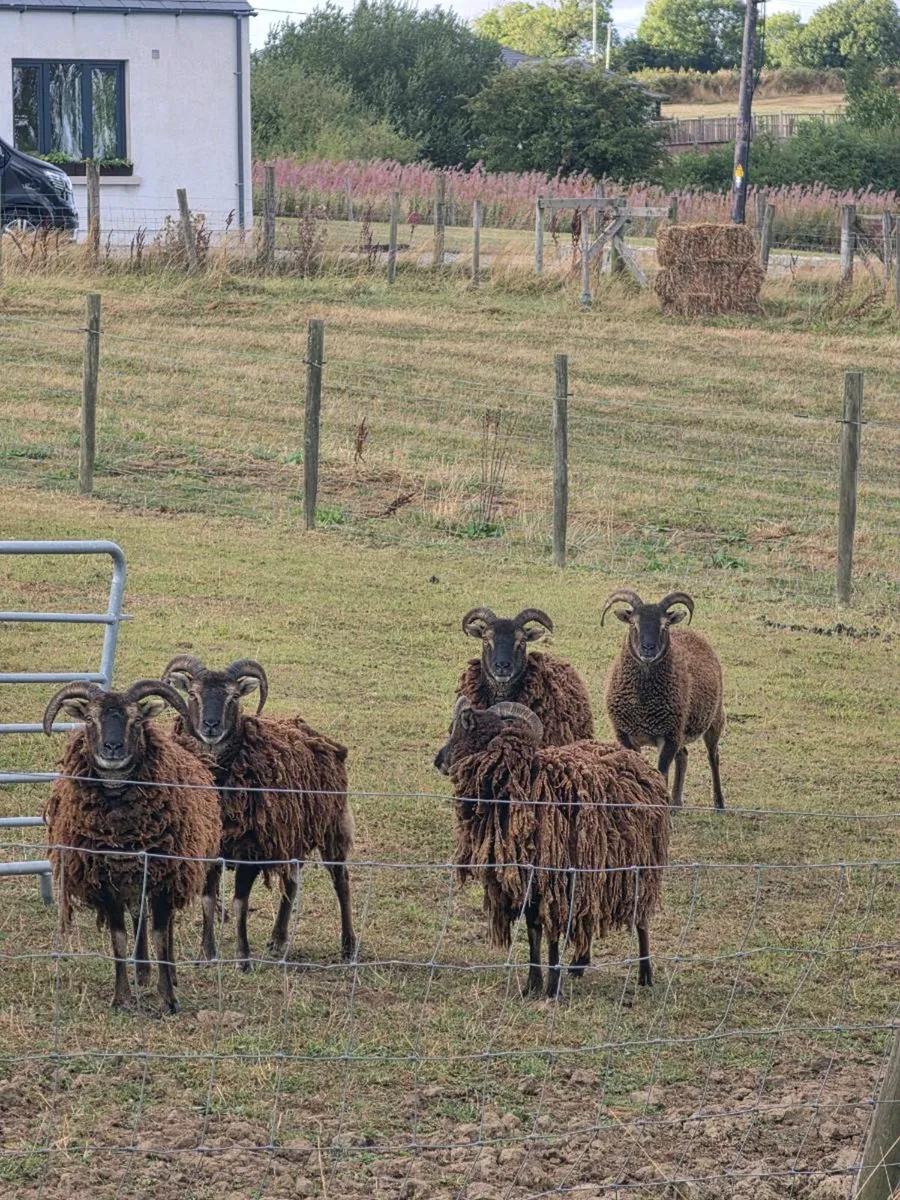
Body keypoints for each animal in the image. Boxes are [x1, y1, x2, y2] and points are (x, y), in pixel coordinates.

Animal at [42, 680, 222, 1014]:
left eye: (136, 720)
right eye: (89, 719)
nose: (112, 749)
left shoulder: (164, 877)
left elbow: (161, 936)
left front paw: (169, 1000)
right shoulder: (107, 884)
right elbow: (119, 938)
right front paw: (121, 997)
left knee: (165, 923)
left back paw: (168, 974)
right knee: (139, 916)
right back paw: (142, 971)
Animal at [162, 655, 355, 970]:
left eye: (233, 696)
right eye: (192, 693)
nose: (211, 726)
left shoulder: (251, 850)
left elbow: (240, 904)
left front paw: (243, 959)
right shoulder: (211, 849)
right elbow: (207, 900)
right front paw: (205, 955)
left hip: (331, 827)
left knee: (341, 881)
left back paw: (348, 947)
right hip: (291, 835)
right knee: (291, 881)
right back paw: (277, 940)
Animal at [434, 696, 671, 999]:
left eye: (464, 730)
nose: (438, 761)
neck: (528, 782)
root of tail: (639, 761)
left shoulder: (555, 878)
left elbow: (551, 935)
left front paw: (551, 988)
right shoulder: (530, 880)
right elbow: (534, 932)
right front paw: (532, 984)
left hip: (641, 865)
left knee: (641, 921)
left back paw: (645, 974)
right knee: (588, 913)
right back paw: (579, 965)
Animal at [601, 590, 726, 810]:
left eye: (664, 625)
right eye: (633, 624)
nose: (648, 648)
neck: (643, 704)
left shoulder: (667, 736)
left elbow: (661, 774)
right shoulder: (626, 735)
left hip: (713, 719)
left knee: (713, 756)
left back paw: (719, 804)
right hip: (681, 730)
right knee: (683, 755)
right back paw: (676, 802)